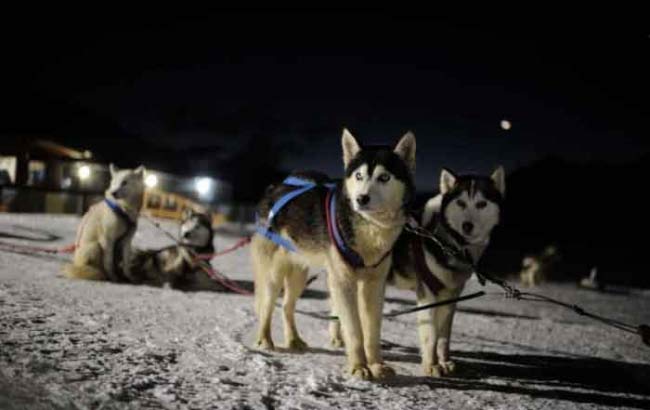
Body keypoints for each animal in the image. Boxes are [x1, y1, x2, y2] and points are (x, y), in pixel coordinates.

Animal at [251, 129, 412, 382]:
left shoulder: (374, 285)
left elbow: (372, 331)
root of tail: (273, 190)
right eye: (358, 175)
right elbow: (354, 330)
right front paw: (359, 367)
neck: (370, 229)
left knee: (287, 306)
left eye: (384, 177)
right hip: (273, 276)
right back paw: (265, 339)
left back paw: (293, 339)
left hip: (299, 276)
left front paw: (377, 365)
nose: (361, 199)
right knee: (267, 306)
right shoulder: (343, 282)